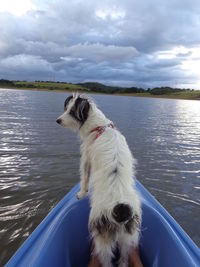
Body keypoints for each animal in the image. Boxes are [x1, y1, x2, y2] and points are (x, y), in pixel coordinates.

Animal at [55, 94, 141, 267]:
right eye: (66, 109)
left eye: (72, 112)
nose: (58, 120)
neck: (99, 127)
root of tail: (120, 206)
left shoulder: (86, 159)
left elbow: (84, 178)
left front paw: (81, 193)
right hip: (127, 239)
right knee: (123, 260)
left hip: (103, 240)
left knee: (107, 260)